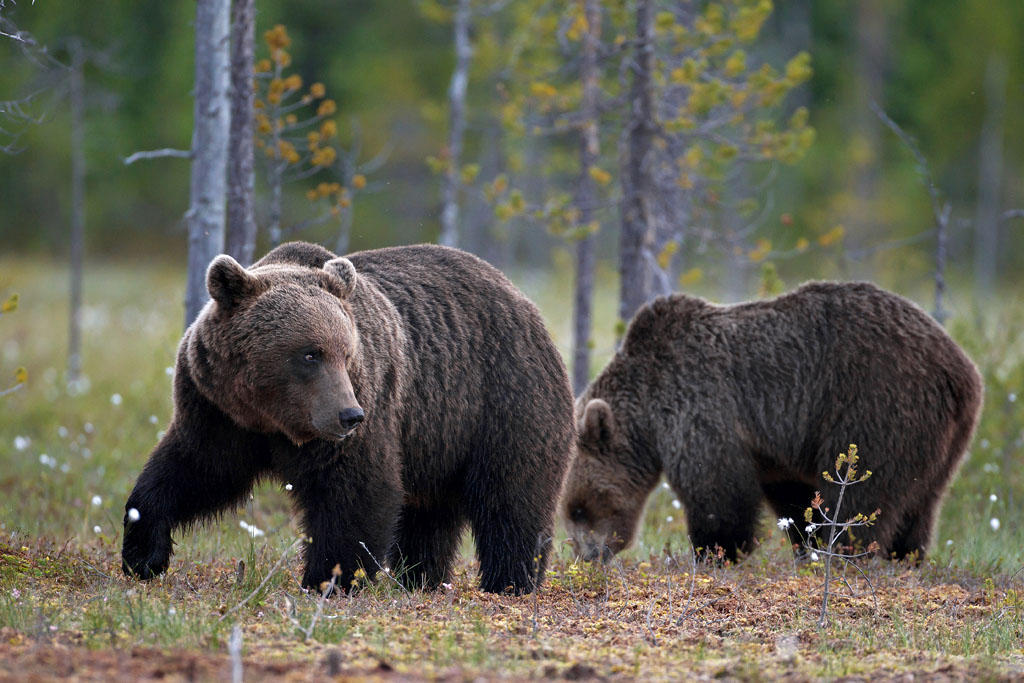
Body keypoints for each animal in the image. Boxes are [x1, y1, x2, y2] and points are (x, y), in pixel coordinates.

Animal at [565, 280, 978, 565]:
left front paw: (715, 550)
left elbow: (717, 487)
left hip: (876, 403)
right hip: (942, 436)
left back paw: (844, 550)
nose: (587, 555)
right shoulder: (775, 447)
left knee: (859, 492)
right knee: (922, 500)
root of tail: (958, 368)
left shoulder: (698, 404)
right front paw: (803, 542)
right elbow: (792, 493)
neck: (648, 415)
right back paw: (905, 553)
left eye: (579, 508)